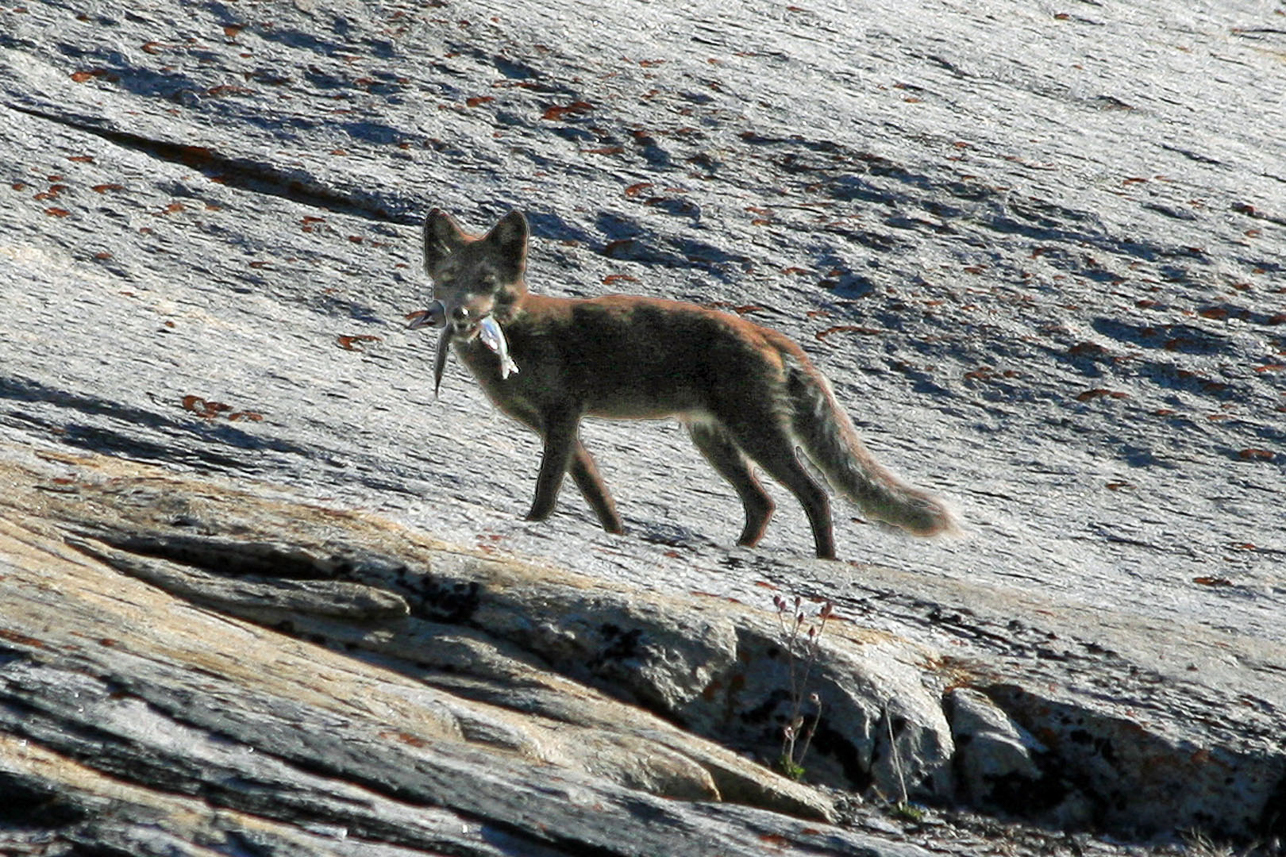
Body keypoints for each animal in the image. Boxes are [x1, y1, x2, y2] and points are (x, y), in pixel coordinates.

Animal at [406, 205, 961, 553]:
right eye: (449, 279)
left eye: (487, 283)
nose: (460, 315)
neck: (520, 331)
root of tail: (763, 330)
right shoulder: (562, 426)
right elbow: (598, 497)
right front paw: (615, 534)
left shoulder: (562, 414)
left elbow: (547, 489)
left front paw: (535, 525)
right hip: (713, 440)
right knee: (763, 503)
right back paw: (742, 548)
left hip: (754, 434)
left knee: (814, 494)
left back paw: (825, 560)